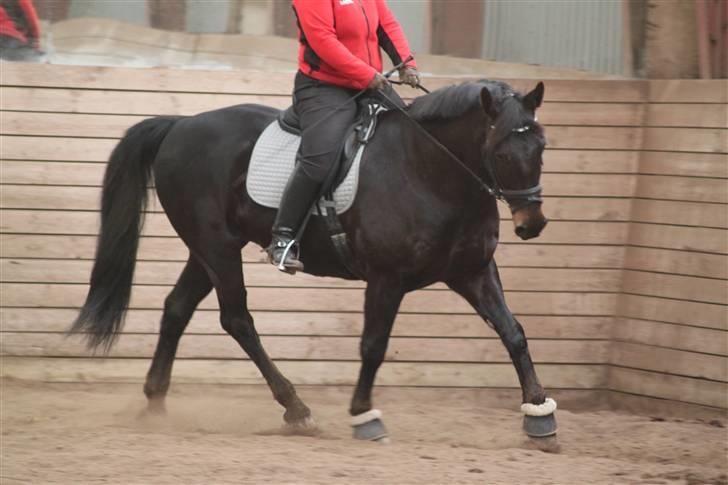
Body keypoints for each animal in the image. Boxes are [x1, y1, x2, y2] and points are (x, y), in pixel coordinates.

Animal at [69, 78, 556, 438]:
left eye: (541, 146)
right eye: (500, 150)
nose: (532, 223)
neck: (428, 170)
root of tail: (181, 124)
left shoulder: (473, 272)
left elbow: (513, 332)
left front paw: (539, 413)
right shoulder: (387, 278)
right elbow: (374, 344)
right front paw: (364, 414)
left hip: (209, 249)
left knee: (177, 308)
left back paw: (156, 403)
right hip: (216, 247)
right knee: (237, 319)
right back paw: (296, 407)